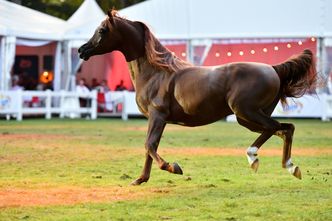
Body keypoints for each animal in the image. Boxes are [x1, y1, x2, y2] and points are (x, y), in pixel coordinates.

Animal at [78, 10, 316, 185]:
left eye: (102, 30)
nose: (82, 50)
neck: (156, 72)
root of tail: (273, 69)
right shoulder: (155, 119)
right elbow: (149, 146)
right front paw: (140, 179)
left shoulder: (158, 116)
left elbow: (150, 145)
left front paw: (173, 167)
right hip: (246, 118)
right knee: (283, 129)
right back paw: (284, 165)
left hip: (246, 112)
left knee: (278, 127)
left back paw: (259, 159)